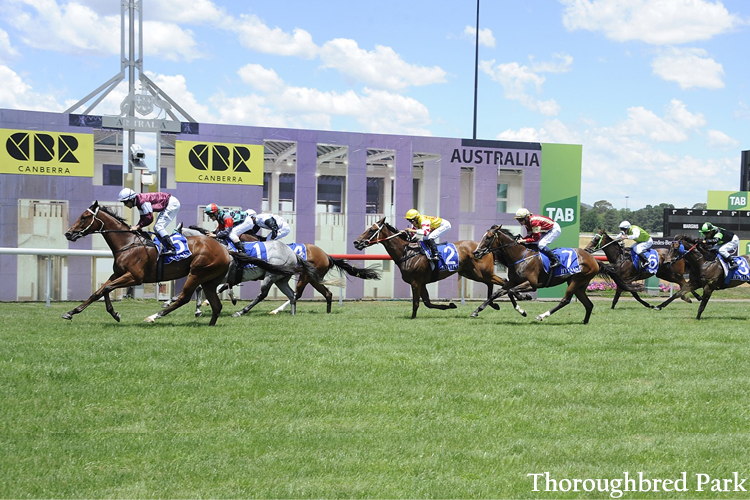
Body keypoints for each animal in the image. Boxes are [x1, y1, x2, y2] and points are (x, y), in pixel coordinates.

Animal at [62, 201, 296, 326]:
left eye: (84, 217)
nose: (68, 234)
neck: (128, 243)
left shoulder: (134, 277)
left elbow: (106, 289)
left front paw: (114, 314)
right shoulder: (118, 274)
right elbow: (100, 290)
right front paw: (74, 312)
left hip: (201, 273)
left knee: (186, 296)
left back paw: (155, 316)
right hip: (212, 278)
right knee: (216, 302)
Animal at [354, 217, 524, 318]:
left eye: (371, 230)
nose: (356, 242)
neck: (407, 252)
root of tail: (484, 248)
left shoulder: (416, 282)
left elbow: (417, 303)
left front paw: (413, 318)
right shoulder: (421, 283)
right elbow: (428, 303)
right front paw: (450, 305)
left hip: (482, 272)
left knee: (503, 281)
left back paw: (519, 301)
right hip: (472, 273)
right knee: (493, 283)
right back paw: (496, 304)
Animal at [470, 226, 636, 324]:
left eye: (489, 237)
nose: (476, 253)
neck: (520, 256)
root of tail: (593, 259)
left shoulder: (532, 283)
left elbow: (511, 292)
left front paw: (524, 301)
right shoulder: (514, 281)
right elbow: (498, 292)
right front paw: (477, 311)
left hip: (577, 280)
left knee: (565, 300)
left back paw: (542, 315)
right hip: (579, 284)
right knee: (588, 304)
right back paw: (584, 322)